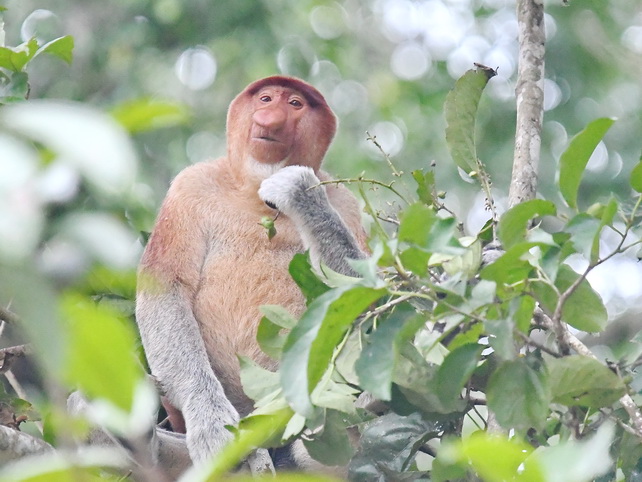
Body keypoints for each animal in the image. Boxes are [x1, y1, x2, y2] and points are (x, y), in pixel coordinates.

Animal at [135, 75, 364, 470]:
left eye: (295, 104)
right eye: (266, 99)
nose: (269, 120)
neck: (257, 197)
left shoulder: (346, 204)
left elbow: (373, 294)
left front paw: (298, 190)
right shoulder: (189, 188)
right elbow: (165, 291)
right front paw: (211, 423)